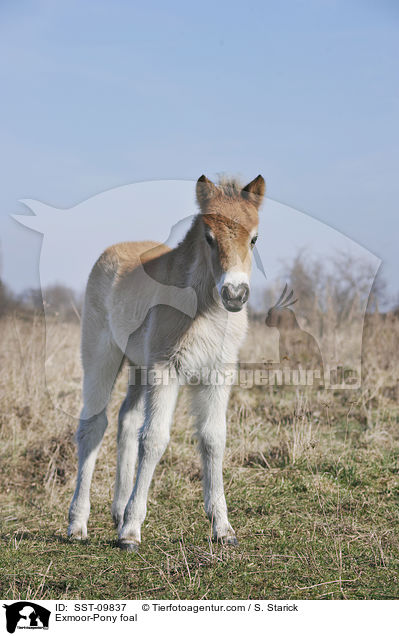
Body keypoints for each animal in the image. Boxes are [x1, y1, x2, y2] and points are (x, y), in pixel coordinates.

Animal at [69, 174, 266, 552]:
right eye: (209, 237)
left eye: (254, 238)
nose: (235, 295)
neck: (204, 311)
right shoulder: (165, 369)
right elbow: (155, 439)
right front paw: (131, 532)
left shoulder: (218, 374)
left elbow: (213, 439)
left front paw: (223, 528)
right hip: (102, 356)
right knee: (93, 426)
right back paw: (78, 523)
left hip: (137, 366)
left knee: (126, 421)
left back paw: (117, 511)